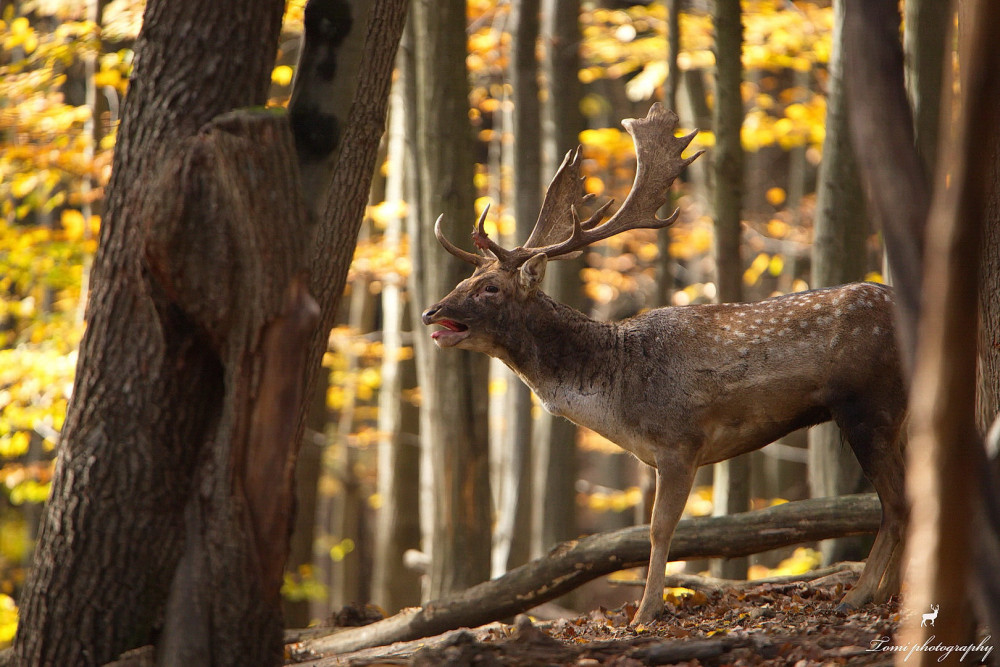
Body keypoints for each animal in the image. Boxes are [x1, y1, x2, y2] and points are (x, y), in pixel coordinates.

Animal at [420, 103, 908, 628]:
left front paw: (645, 612)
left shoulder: (680, 441)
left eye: (490, 287)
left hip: (868, 407)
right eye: (466, 278)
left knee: (896, 503)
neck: (617, 396)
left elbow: (658, 529)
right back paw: (891, 594)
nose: (430, 312)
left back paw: (859, 595)